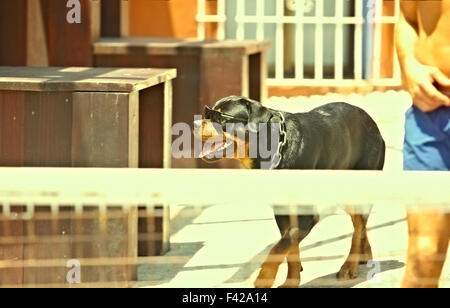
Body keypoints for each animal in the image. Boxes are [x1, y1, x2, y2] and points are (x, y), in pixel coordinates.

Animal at [192, 95, 384, 288]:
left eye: (220, 118)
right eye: (207, 113)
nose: (195, 123)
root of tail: (374, 126)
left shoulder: (307, 216)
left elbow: (281, 245)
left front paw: (265, 277)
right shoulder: (282, 212)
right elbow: (290, 247)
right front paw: (291, 280)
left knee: (359, 226)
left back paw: (350, 266)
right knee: (360, 223)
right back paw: (365, 254)